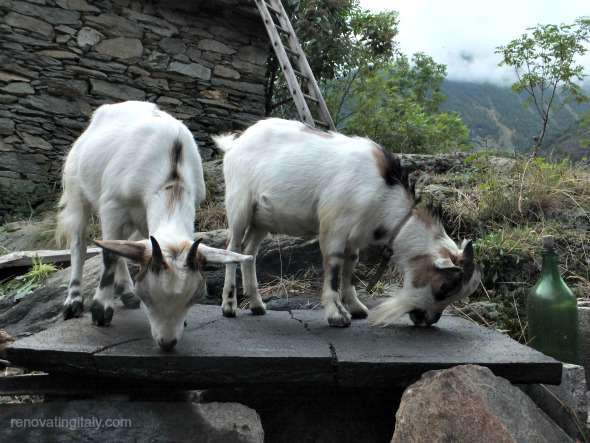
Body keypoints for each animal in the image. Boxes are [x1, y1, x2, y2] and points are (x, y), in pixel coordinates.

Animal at [58, 102, 254, 352]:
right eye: (148, 298)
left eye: (194, 299)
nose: (167, 343)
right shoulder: (112, 205)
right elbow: (109, 255)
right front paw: (101, 311)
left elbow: (122, 248)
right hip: (76, 186)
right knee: (78, 242)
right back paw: (73, 300)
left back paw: (126, 292)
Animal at [215, 119, 484, 328]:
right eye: (444, 287)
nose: (427, 320)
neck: (383, 195)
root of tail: (236, 143)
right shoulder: (335, 225)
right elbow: (335, 267)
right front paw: (337, 315)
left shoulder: (356, 236)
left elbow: (349, 267)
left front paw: (355, 307)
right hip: (239, 204)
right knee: (233, 248)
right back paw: (228, 306)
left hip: (262, 219)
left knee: (249, 252)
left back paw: (257, 305)